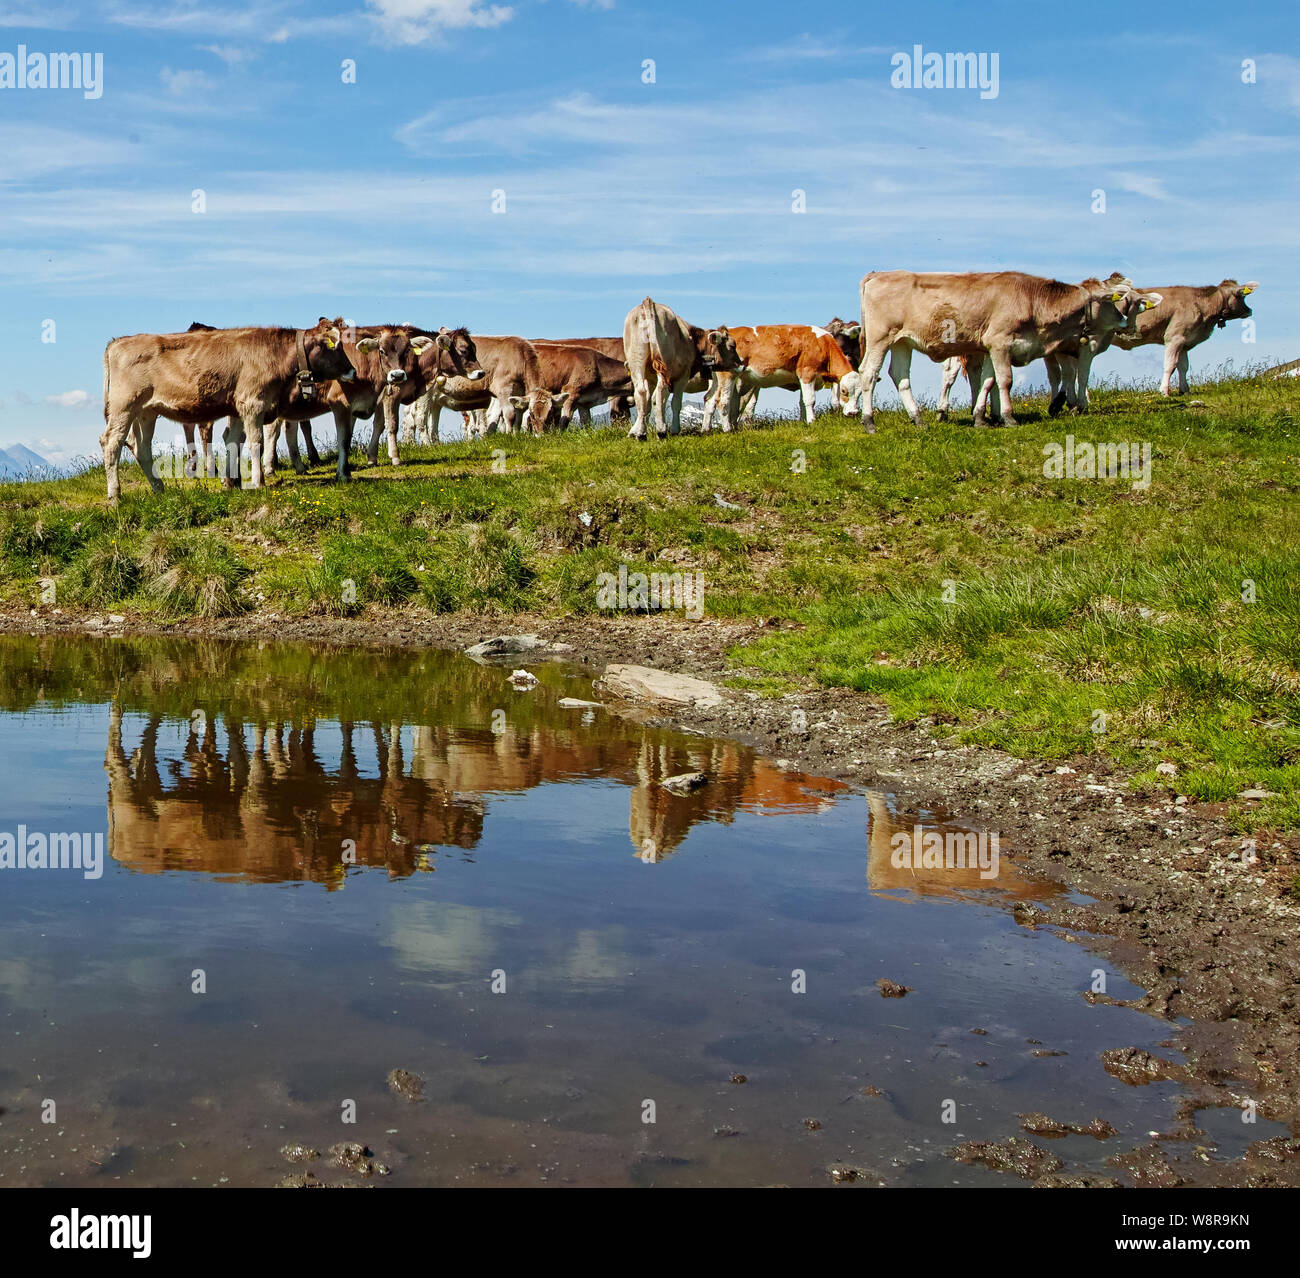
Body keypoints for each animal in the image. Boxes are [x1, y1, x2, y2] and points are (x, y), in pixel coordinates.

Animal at [100, 317, 355, 502]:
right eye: (336, 347)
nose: (353, 371)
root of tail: (118, 341)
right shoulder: (252, 403)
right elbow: (256, 442)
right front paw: (257, 482)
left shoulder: (238, 408)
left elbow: (234, 441)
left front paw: (232, 483)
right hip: (124, 405)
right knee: (111, 441)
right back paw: (115, 494)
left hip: (146, 411)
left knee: (140, 447)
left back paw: (158, 487)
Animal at [622, 298, 744, 439]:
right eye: (732, 346)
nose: (740, 364)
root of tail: (648, 302)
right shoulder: (683, 376)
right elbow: (675, 403)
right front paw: (674, 429)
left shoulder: (650, 378)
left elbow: (646, 403)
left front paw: (636, 431)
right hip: (665, 366)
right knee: (662, 392)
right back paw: (662, 431)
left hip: (637, 361)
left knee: (641, 392)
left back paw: (642, 434)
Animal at [699, 325, 862, 431]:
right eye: (844, 391)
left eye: (860, 393)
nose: (853, 413)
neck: (822, 344)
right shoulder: (807, 373)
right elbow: (810, 400)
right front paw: (812, 421)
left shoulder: (802, 377)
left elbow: (802, 402)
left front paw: (803, 422)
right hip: (728, 374)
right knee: (722, 401)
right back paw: (728, 430)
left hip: (717, 378)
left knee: (709, 399)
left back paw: (706, 430)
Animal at [855, 270, 1137, 431]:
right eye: (1111, 301)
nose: (1124, 320)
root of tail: (879, 274)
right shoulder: (1000, 341)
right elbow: (1005, 380)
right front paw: (1009, 417)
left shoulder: (991, 345)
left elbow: (988, 381)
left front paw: (981, 418)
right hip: (880, 338)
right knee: (868, 373)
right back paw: (869, 421)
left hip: (902, 342)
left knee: (900, 376)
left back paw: (918, 419)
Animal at [1108, 280, 1258, 396]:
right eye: (1242, 295)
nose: (1250, 311)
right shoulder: (1174, 337)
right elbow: (1170, 365)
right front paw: (1164, 391)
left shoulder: (1185, 341)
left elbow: (1183, 366)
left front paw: (1184, 390)